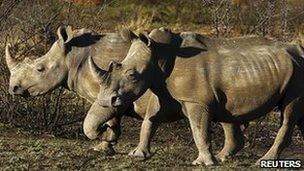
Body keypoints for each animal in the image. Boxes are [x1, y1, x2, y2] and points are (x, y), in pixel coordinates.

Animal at [5, 26, 251, 158]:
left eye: (40, 69)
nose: (13, 89)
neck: (73, 56)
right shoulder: (111, 94)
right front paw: (104, 144)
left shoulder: (108, 94)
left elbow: (97, 122)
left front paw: (103, 141)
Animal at [89, 28, 304, 165]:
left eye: (132, 75)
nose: (104, 129)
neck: (158, 54)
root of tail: (300, 50)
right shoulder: (166, 94)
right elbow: (150, 120)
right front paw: (137, 155)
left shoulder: (196, 101)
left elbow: (198, 129)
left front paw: (203, 163)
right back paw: (224, 157)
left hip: (297, 74)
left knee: (289, 112)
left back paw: (263, 161)